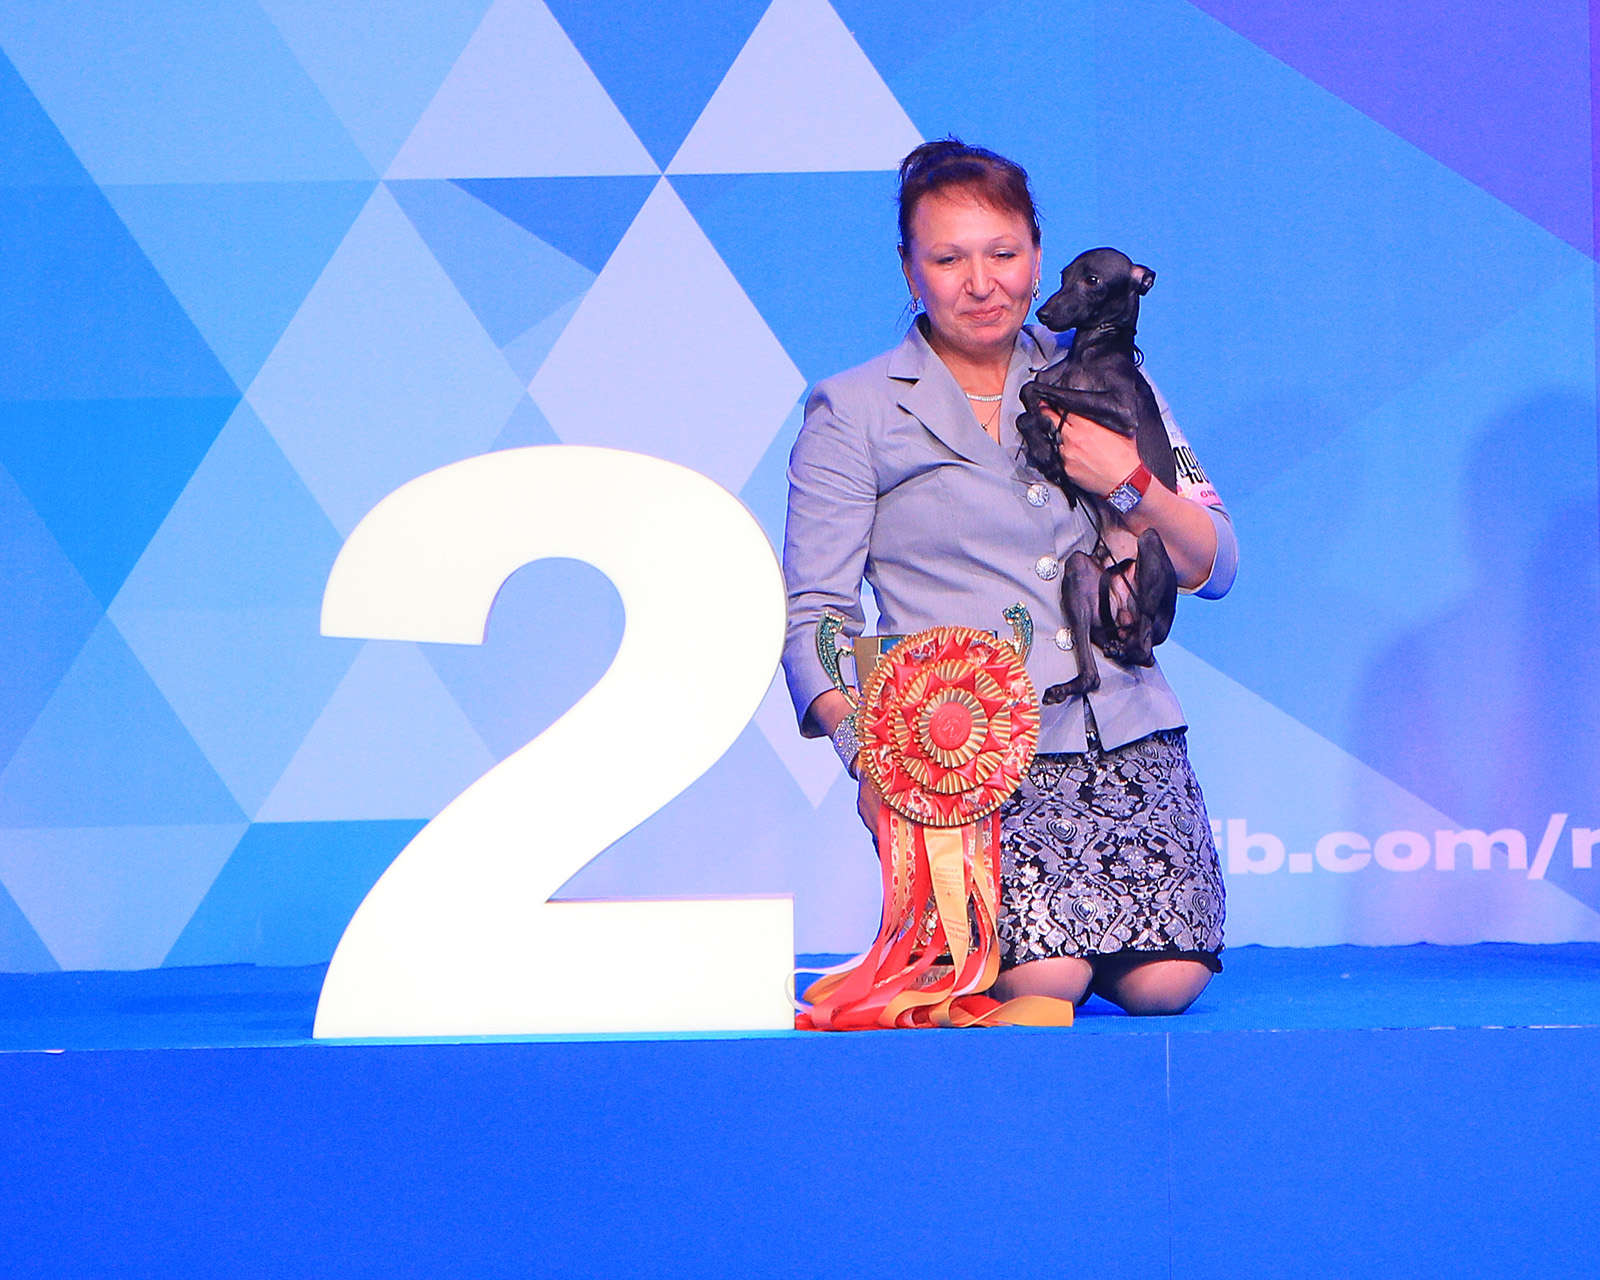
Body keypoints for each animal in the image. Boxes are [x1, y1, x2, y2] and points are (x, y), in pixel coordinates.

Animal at [1017, 247, 1179, 704]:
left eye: (1093, 280)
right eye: (1063, 275)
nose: (1044, 311)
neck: (1089, 353)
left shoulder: (1121, 410)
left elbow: (1034, 390)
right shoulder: (1054, 386)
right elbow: (1027, 400)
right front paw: (1043, 447)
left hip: (1151, 548)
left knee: (1143, 649)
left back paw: (1129, 646)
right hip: (1080, 575)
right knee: (1094, 673)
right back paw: (1077, 678)